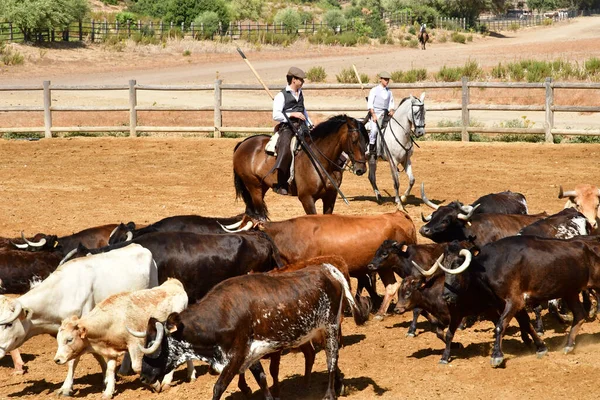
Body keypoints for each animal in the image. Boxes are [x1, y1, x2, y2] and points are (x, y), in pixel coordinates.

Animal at [0, 242, 157, 396]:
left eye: (9, 324)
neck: (61, 293)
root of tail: (139, 247)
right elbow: (96, 354)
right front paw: (106, 377)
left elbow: (73, 359)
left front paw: (66, 388)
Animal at [55, 280, 190, 398]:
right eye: (58, 340)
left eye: (69, 339)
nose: (57, 360)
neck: (113, 319)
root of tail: (174, 283)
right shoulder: (110, 351)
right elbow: (110, 370)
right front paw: (108, 392)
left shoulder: (135, 344)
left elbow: (137, 366)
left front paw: (155, 385)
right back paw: (190, 376)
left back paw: (166, 382)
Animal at [137, 264, 370, 398]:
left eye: (155, 347)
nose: (143, 377)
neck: (224, 313)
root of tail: (326, 269)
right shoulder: (251, 353)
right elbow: (262, 379)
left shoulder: (235, 357)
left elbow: (218, 387)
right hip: (319, 331)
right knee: (329, 359)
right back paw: (337, 385)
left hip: (331, 326)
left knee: (331, 360)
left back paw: (330, 393)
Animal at [232, 114, 368, 220]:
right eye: (354, 140)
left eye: (366, 141)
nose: (361, 169)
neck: (321, 161)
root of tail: (243, 142)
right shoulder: (307, 198)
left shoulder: (330, 197)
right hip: (254, 186)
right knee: (260, 215)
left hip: (262, 186)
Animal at [438, 236, 600, 368]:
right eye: (445, 267)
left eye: (457, 266)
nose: (446, 297)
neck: (494, 265)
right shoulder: (510, 304)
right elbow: (526, 323)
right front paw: (541, 348)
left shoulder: (514, 301)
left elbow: (500, 325)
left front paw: (497, 356)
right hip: (570, 292)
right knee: (579, 315)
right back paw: (568, 345)